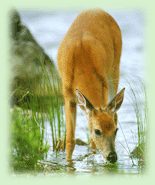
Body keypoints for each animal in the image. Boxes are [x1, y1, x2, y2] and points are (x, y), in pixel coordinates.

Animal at [57, 8, 125, 163]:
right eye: (97, 131)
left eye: (116, 130)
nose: (112, 157)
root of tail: (97, 10)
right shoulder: (67, 95)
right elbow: (70, 140)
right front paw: (68, 163)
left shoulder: (103, 87)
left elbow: (92, 141)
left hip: (115, 67)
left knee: (116, 113)